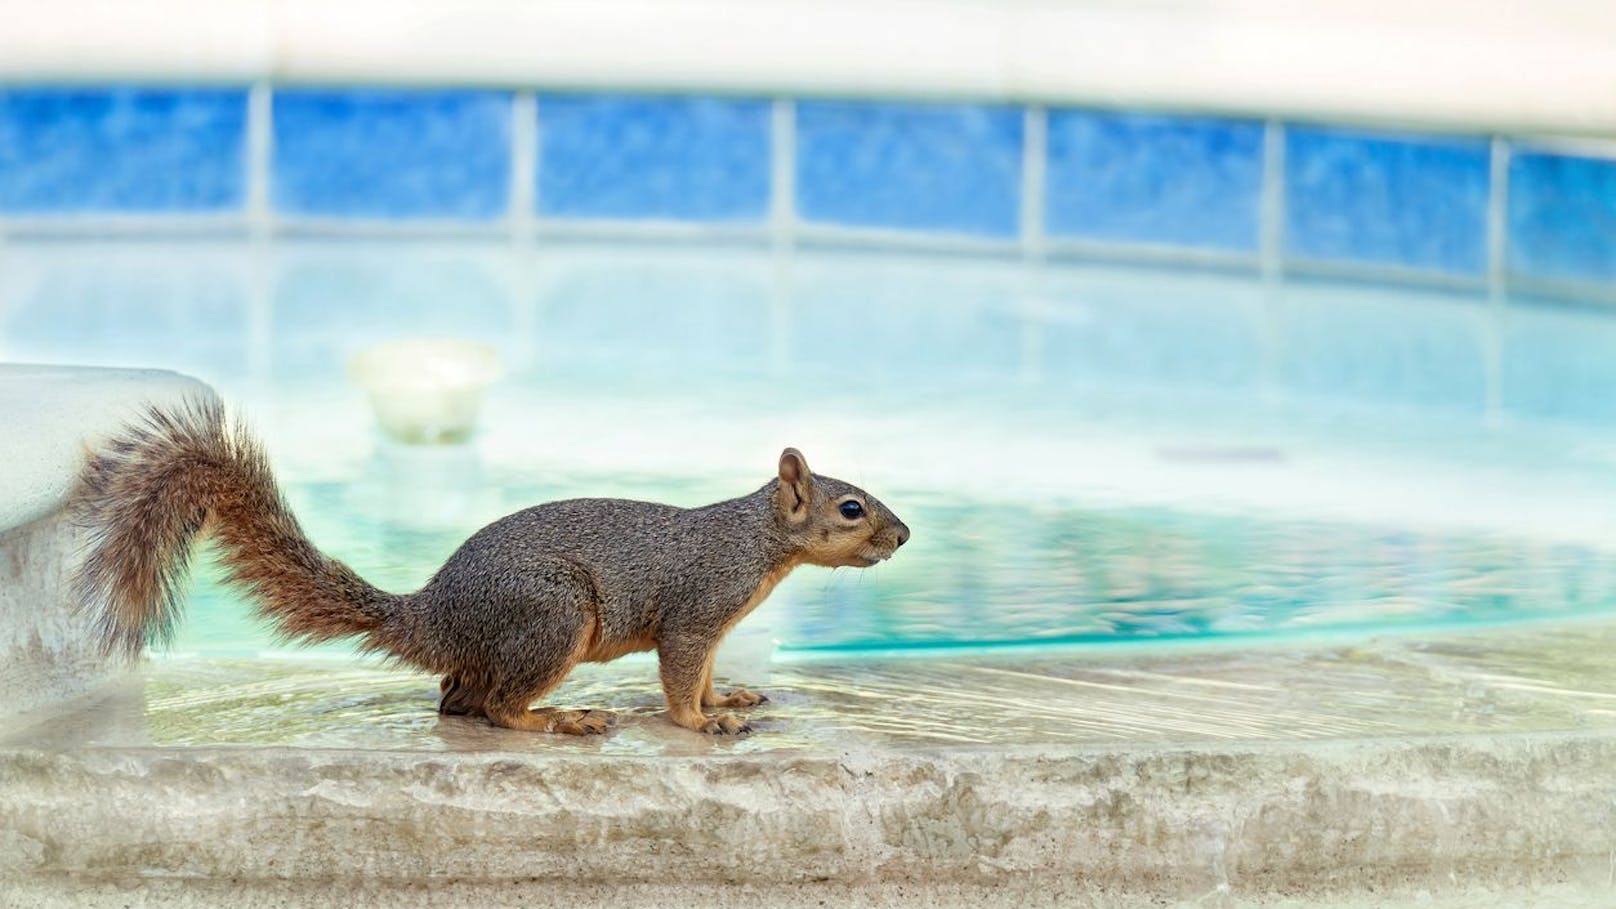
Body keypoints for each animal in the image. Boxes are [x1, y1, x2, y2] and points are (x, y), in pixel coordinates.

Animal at [72, 396, 911, 727]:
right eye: (850, 508)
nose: (903, 537)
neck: (755, 542)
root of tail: (433, 613)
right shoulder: (695, 613)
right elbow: (679, 681)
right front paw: (704, 723)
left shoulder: (709, 628)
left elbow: (702, 674)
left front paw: (726, 697)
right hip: (552, 616)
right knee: (500, 707)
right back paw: (561, 719)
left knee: (457, 700)